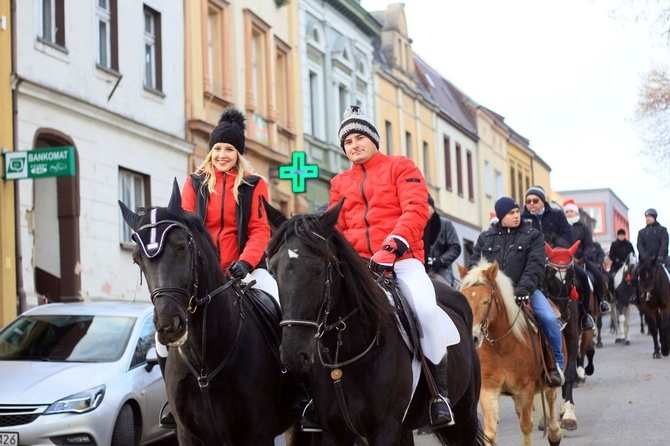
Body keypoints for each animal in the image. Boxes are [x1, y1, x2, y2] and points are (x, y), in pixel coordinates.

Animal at [119, 181, 312, 446]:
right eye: (137, 259)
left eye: (181, 247)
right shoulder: (188, 434)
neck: (204, 360)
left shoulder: (257, 432)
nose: (169, 324)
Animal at [264, 201, 488, 446]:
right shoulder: (333, 431)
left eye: (318, 269)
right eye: (272, 270)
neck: (344, 357)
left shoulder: (384, 428)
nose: (293, 354)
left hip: (465, 415)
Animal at [460, 260, 564, 444]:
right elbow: (490, 432)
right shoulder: (488, 389)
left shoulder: (526, 389)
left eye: (486, 301)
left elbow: (526, 426)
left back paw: (554, 434)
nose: (473, 337)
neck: (501, 347)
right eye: (464, 300)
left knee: (551, 399)